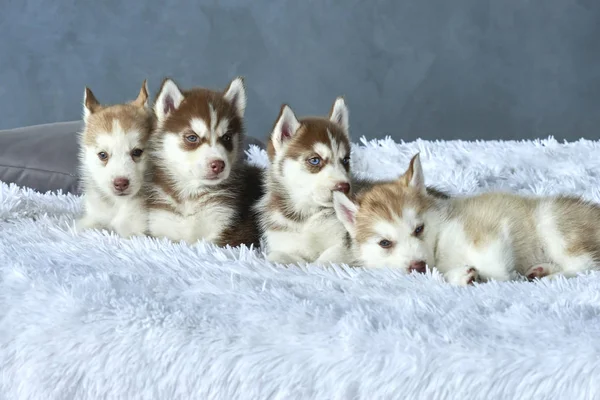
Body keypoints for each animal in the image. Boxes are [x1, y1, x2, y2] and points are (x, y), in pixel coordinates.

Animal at [75, 81, 155, 238]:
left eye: (137, 152)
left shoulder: (138, 231)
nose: (120, 183)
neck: (118, 204)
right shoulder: (94, 217)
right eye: (103, 155)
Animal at [146, 76, 262, 247]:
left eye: (226, 137)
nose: (218, 165)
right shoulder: (160, 229)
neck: (192, 195)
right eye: (192, 137)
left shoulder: (232, 230)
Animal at [255, 97, 354, 266]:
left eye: (345, 160)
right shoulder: (285, 242)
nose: (344, 187)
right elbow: (276, 256)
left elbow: (328, 258)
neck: (307, 216)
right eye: (315, 160)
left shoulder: (346, 243)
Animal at [332, 152, 600, 286]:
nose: (418, 266)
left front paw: (490, 276)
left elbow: (496, 270)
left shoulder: (488, 234)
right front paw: (462, 276)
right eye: (384, 243)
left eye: (419, 229)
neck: (438, 243)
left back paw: (552, 277)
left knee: (586, 265)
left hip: (553, 223)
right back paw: (541, 271)